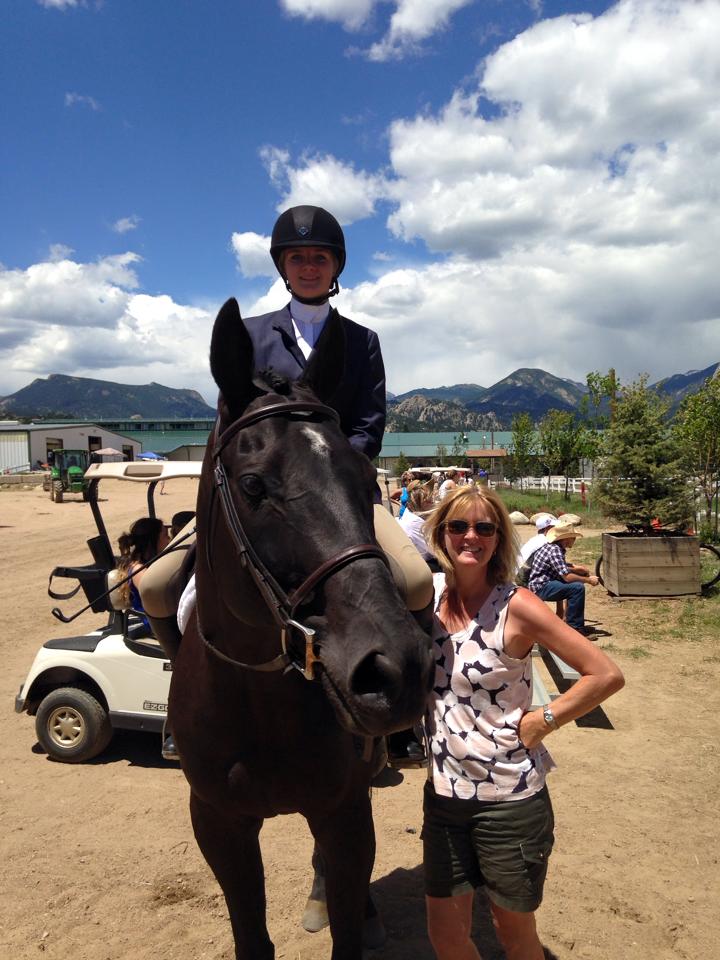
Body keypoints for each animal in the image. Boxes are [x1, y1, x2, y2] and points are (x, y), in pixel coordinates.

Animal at [169, 298, 433, 960]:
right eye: (253, 484)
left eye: (367, 480)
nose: (396, 668)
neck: (259, 698)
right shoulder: (218, 823)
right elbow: (251, 937)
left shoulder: (343, 811)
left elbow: (346, 925)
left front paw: (351, 912)